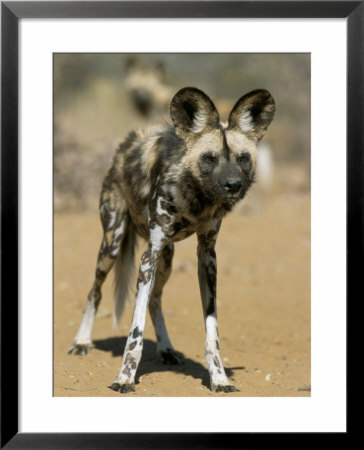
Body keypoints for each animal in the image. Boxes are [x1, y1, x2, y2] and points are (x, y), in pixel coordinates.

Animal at [68, 86, 274, 392]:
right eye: (209, 158)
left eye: (243, 158)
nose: (234, 185)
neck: (198, 199)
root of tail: (125, 145)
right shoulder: (149, 254)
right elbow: (135, 331)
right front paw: (125, 378)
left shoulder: (207, 256)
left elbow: (212, 331)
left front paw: (219, 378)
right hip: (113, 245)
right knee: (95, 292)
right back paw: (82, 342)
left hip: (167, 258)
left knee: (155, 300)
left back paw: (166, 349)